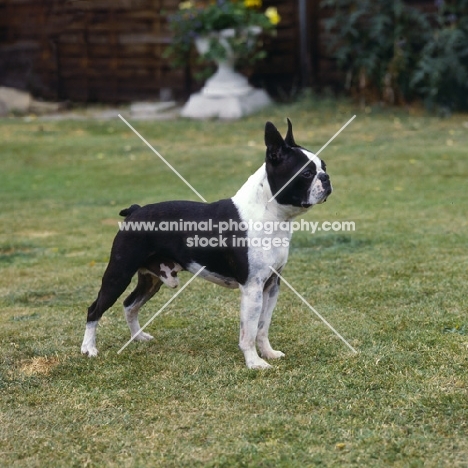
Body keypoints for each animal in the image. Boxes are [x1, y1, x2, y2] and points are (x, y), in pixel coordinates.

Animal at [83, 119, 332, 370]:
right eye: (307, 173)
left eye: (324, 167)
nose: (326, 178)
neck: (270, 214)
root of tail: (135, 210)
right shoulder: (252, 287)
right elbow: (249, 331)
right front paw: (254, 363)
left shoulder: (272, 284)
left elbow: (263, 327)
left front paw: (268, 353)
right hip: (119, 272)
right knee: (95, 309)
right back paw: (89, 349)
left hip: (151, 279)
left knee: (130, 304)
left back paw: (138, 337)